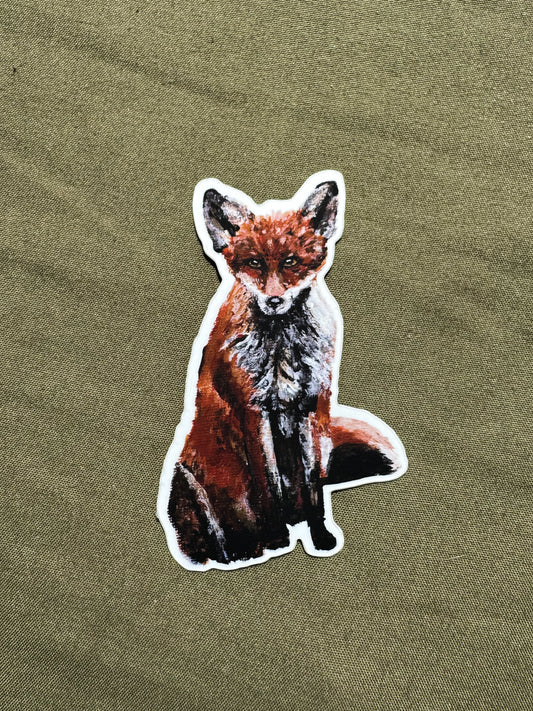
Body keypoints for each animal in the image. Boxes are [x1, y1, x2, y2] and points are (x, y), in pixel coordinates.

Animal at [157, 170, 407, 571]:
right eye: (254, 263)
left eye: (291, 261)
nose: (273, 300)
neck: (283, 350)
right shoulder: (253, 410)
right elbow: (267, 485)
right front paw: (278, 539)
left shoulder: (310, 409)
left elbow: (314, 486)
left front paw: (321, 538)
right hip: (185, 483)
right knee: (213, 540)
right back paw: (243, 550)